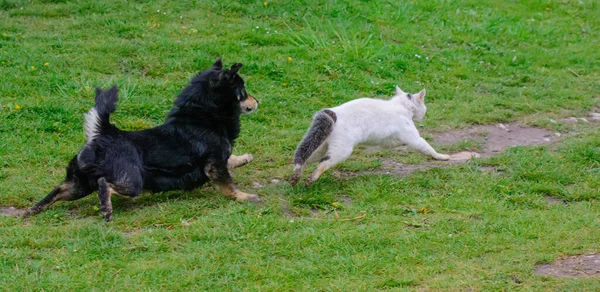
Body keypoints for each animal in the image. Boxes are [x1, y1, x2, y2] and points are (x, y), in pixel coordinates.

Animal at [24, 58, 258, 220]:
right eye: (243, 91)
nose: (258, 101)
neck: (201, 117)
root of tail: (106, 133)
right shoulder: (215, 164)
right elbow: (229, 185)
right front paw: (245, 197)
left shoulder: (219, 160)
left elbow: (233, 159)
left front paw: (245, 157)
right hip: (132, 181)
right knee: (105, 184)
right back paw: (106, 208)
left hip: (78, 184)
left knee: (57, 191)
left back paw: (31, 210)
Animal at [290, 85, 450, 186]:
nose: (423, 114)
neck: (400, 106)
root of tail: (333, 113)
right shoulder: (412, 137)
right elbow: (427, 148)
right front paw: (441, 157)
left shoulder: (387, 141)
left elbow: (393, 143)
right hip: (341, 149)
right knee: (323, 163)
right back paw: (312, 177)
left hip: (319, 145)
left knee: (302, 157)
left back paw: (296, 176)